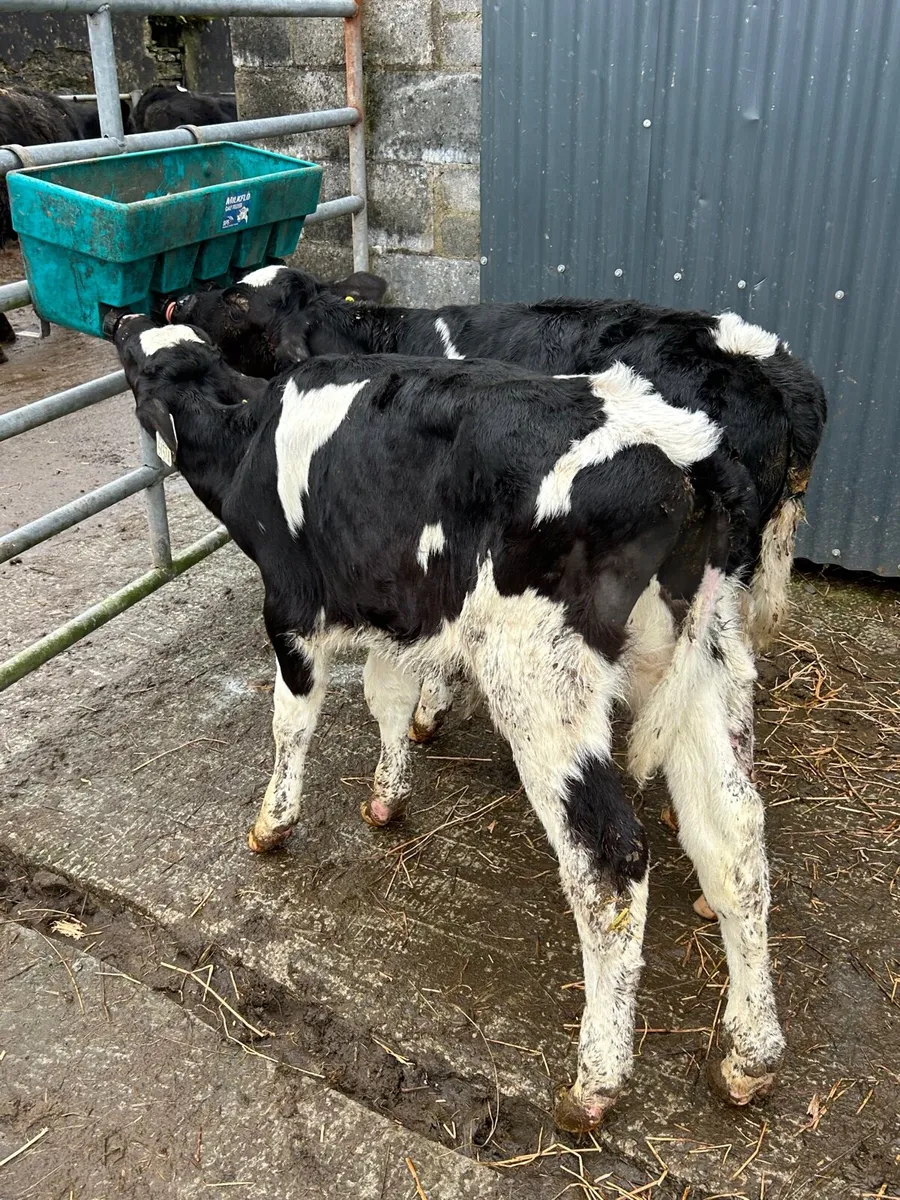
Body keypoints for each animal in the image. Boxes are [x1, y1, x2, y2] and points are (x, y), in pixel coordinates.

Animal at [112, 311, 785, 1133]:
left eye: (136, 368)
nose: (122, 318)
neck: (249, 437)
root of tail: (687, 450)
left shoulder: (292, 609)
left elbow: (291, 722)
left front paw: (274, 822)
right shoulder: (395, 605)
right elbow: (389, 699)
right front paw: (387, 795)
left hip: (539, 680)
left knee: (611, 869)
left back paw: (596, 1080)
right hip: (699, 666)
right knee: (735, 840)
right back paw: (750, 1054)